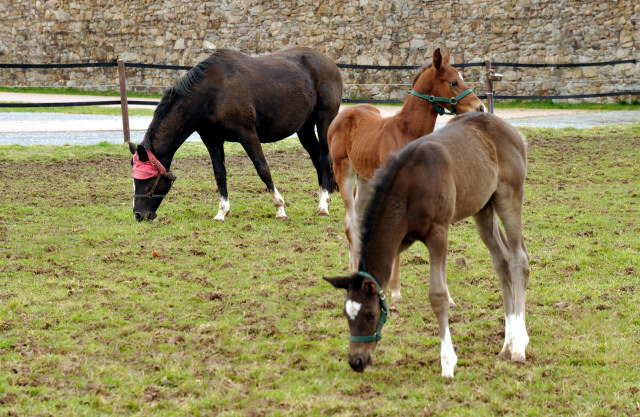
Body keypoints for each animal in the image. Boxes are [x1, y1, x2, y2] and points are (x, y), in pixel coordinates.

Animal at [127, 46, 342, 221]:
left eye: (146, 179)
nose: (138, 214)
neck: (214, 93)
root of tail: (329, 62)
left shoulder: (248, 135)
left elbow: (263, 169)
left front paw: (280, 208)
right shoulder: (212, 140)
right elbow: (220, 174)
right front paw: (222, 212)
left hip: (324, 120)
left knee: (324, 158)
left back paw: (324, 205)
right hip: (304, 128)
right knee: (316, 158)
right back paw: (325, 196)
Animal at [324, 111, 528, 376]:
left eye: (369, 314)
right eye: (346, 314)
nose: (356, 361)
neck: (410, 186)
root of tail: (513, 131)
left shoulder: (438, 232)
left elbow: (438, 295)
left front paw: (448, 363)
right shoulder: (402, 239)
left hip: (509, 197)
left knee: (518, 260)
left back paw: (519, 346)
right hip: (483, 208)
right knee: (502, 262)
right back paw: (507, 343)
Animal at [328, 48, 482, 302]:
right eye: (453, 82)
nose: (480, 108)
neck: (407, 131)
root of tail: (345, 112)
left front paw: (446, 297)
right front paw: (396, 292)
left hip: (366, 179)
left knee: (358, 219)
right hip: (344, 171)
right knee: (350, 221)